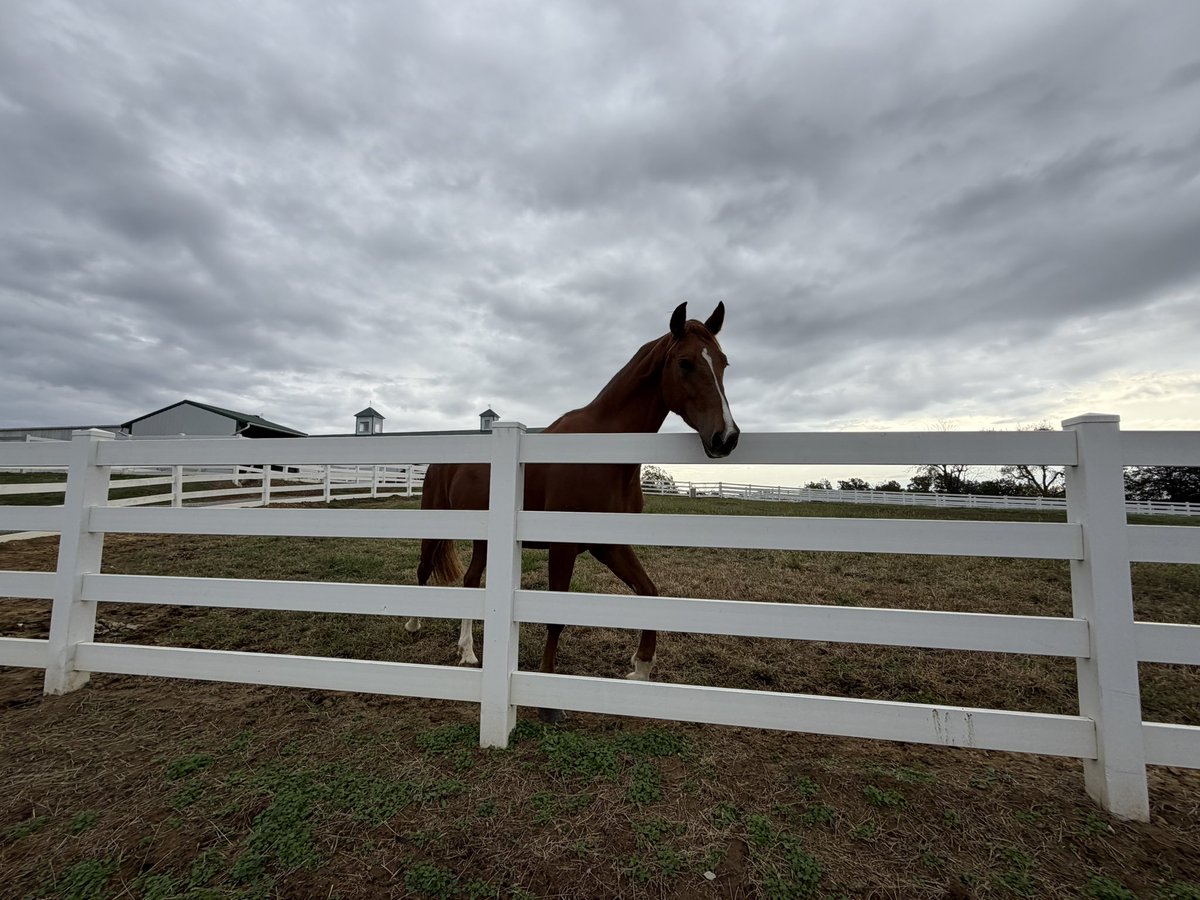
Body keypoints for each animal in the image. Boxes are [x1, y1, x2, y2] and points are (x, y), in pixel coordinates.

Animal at [405, 302, 739, 723]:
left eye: (724, 363)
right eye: (685, 363)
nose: (726, 437)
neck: (600, 453)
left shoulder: (609, 546)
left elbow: (649, 591)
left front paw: (641, 667)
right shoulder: (562, 548)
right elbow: (557, 616)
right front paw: (549, 702)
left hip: (484, 538)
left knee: (470, 580)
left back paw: (468, 651)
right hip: (435, 526)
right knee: (423, 569)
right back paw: (414, 622)